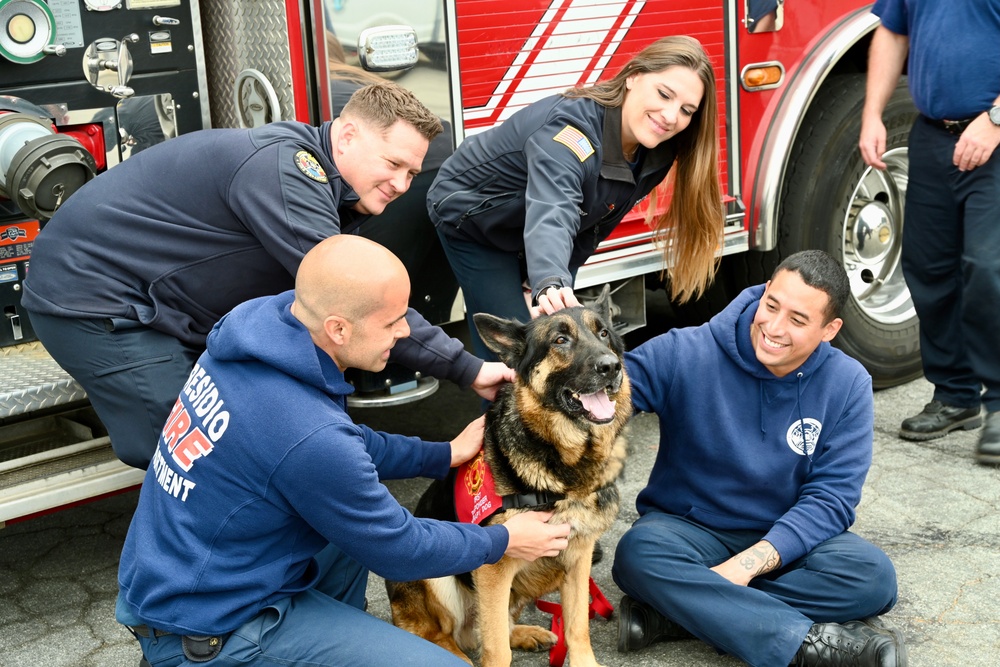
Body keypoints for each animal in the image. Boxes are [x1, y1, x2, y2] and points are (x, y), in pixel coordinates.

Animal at [386, 290, 628, 667]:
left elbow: (577, 627)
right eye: (560, 340)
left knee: (487, 628)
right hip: (437, 575)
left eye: (603, 333)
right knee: (440, 633)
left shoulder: (578, 559)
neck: (563, 470)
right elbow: (497, 648)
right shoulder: (494, 569)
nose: (611, 366)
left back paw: (527, 633)